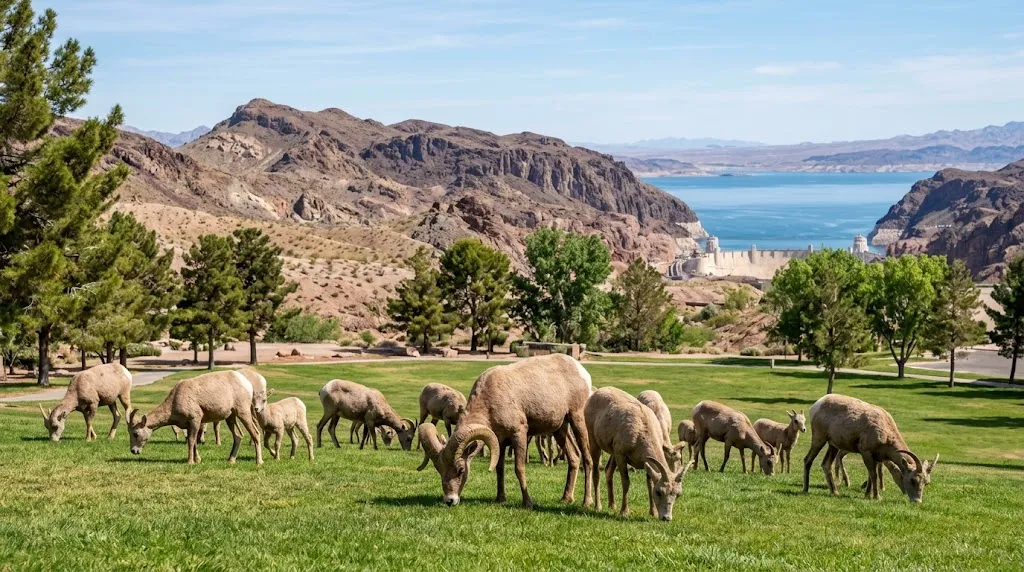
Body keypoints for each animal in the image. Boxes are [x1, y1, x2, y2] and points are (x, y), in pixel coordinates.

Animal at [127, 370, 263, 465]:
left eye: (135, 433)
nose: (133, 451)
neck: (174, 402)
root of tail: (247, 384)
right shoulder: (190, 425)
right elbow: (194, 442)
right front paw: (198, 460)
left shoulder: (195, 419)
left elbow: (192, 441)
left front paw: (190, 462)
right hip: (231, 417)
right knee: (238, 436)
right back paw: (230, 460)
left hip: (243, 412)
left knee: (255, 432)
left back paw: (259, 462)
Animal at [417, 353, 593, 509]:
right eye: (439, 470)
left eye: (461, 470)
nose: (449, 500)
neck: (491, 400)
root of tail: (581, 370)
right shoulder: (499, 442)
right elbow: (499, 469)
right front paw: (500, 499)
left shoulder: (519, 434)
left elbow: (519, 468)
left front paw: (528, 504)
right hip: (560, 428)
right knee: (574, 458)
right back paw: (566, 499)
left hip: (577, 419)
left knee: (587, 459)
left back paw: (587, 502)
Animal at [585, 387, 688, 520]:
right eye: (659, 492)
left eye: (677, 494)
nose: (666, 518)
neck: (641, 434)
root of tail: (596, 393)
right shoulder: (621, 456)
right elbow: (626, 482)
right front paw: (624, 512)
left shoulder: (646, 463)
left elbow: (649, 484)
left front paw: (653, 513)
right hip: (594, 442)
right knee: (596, 473)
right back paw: (598, 507)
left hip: (612, 452)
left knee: (608, 471)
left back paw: (612, 506)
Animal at [802, 393, 939, 502]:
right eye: (912, 480)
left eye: (926, 483)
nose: (917, 501)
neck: (885, 433)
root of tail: (817, 404)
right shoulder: (866, 452)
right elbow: (874, 475)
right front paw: (877, 497)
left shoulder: (876, 457)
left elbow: (871, 475)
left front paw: (867, 495)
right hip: (819, 438)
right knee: (808, 459)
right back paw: (805, 490)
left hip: (833, 445)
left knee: (826, 464)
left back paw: (835, 492)